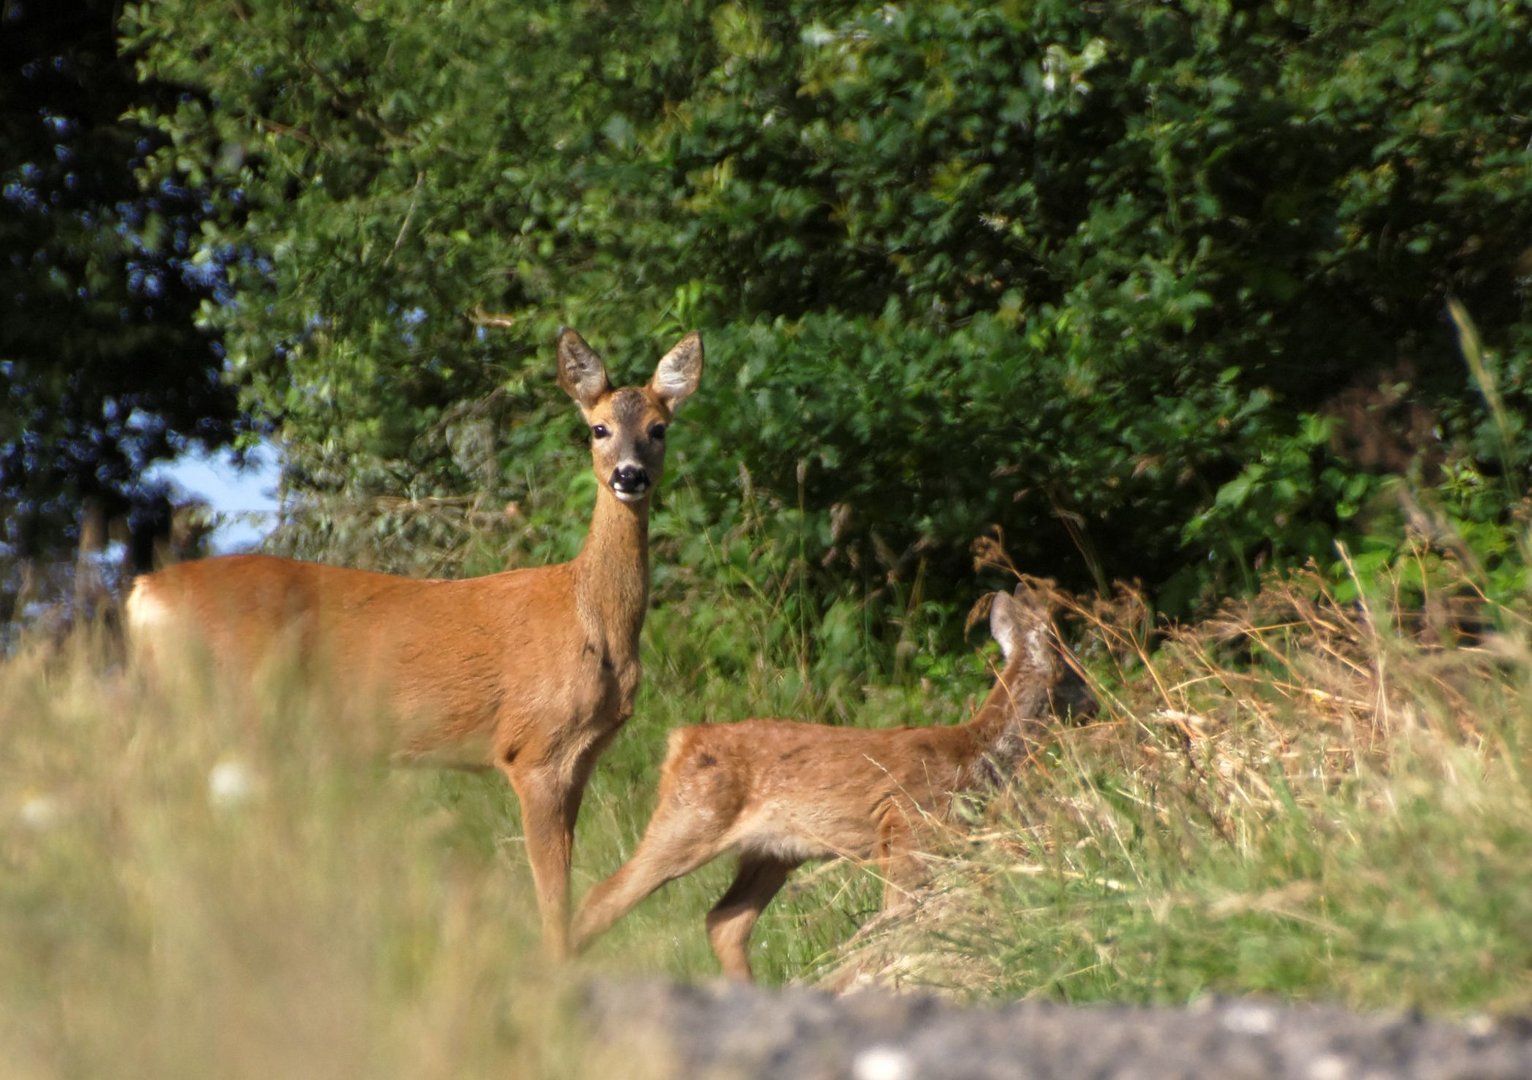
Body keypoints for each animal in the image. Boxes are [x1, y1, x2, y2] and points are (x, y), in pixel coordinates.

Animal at [128, 326, 701, 949]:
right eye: (598, 428)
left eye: (659, 428)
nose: (629, 475)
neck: (588, 617)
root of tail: (143, 592)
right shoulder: (534, 748)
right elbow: (553, 900)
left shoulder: (578, 759)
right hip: (226, 709)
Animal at [569, 582, 1084, 980]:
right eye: (1073, 671)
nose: (1095, 698)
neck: (979, 750)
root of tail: (682, 741)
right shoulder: (907, 827)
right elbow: (898, 913)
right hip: (690, 819)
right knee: (599, 898)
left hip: (773, 852)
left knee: (724, 922)